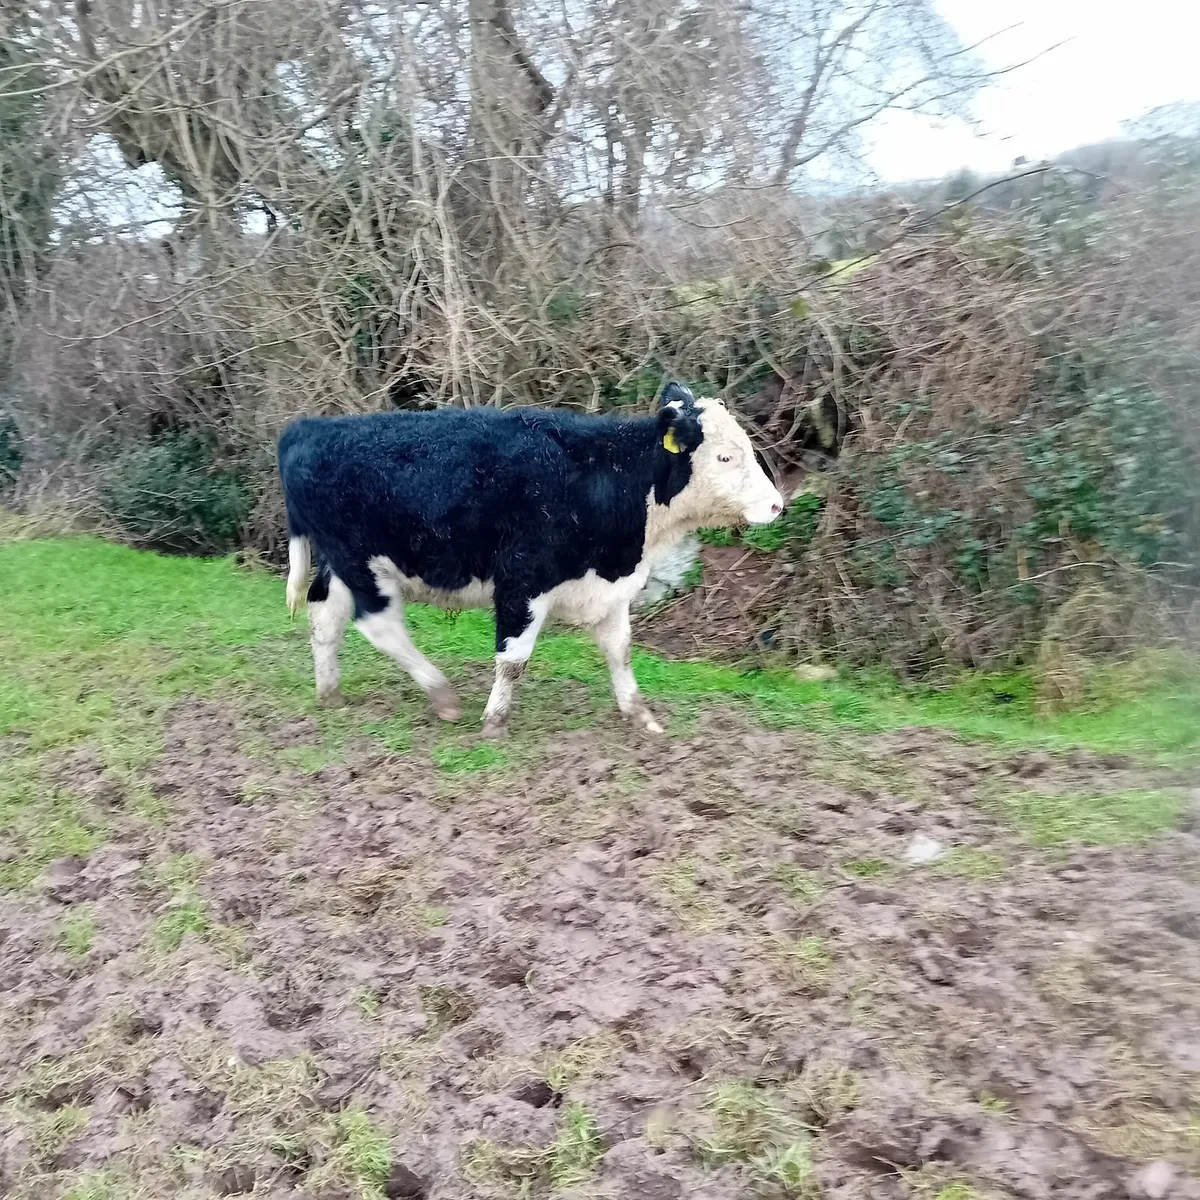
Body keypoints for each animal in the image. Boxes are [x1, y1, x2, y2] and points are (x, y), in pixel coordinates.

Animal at [277, 382, 783, 738]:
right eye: (725, 457)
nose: (777, 505)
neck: (608, 479)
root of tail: (310, 428)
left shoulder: (611, 588)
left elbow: (619, 649)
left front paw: (640, 715)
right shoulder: (522, 582)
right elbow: (514, 658)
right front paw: (494, 722)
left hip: (343, 563)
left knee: (325, 614)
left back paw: (330, 693)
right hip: (362, 562)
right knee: (378, 623)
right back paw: (442, 695)